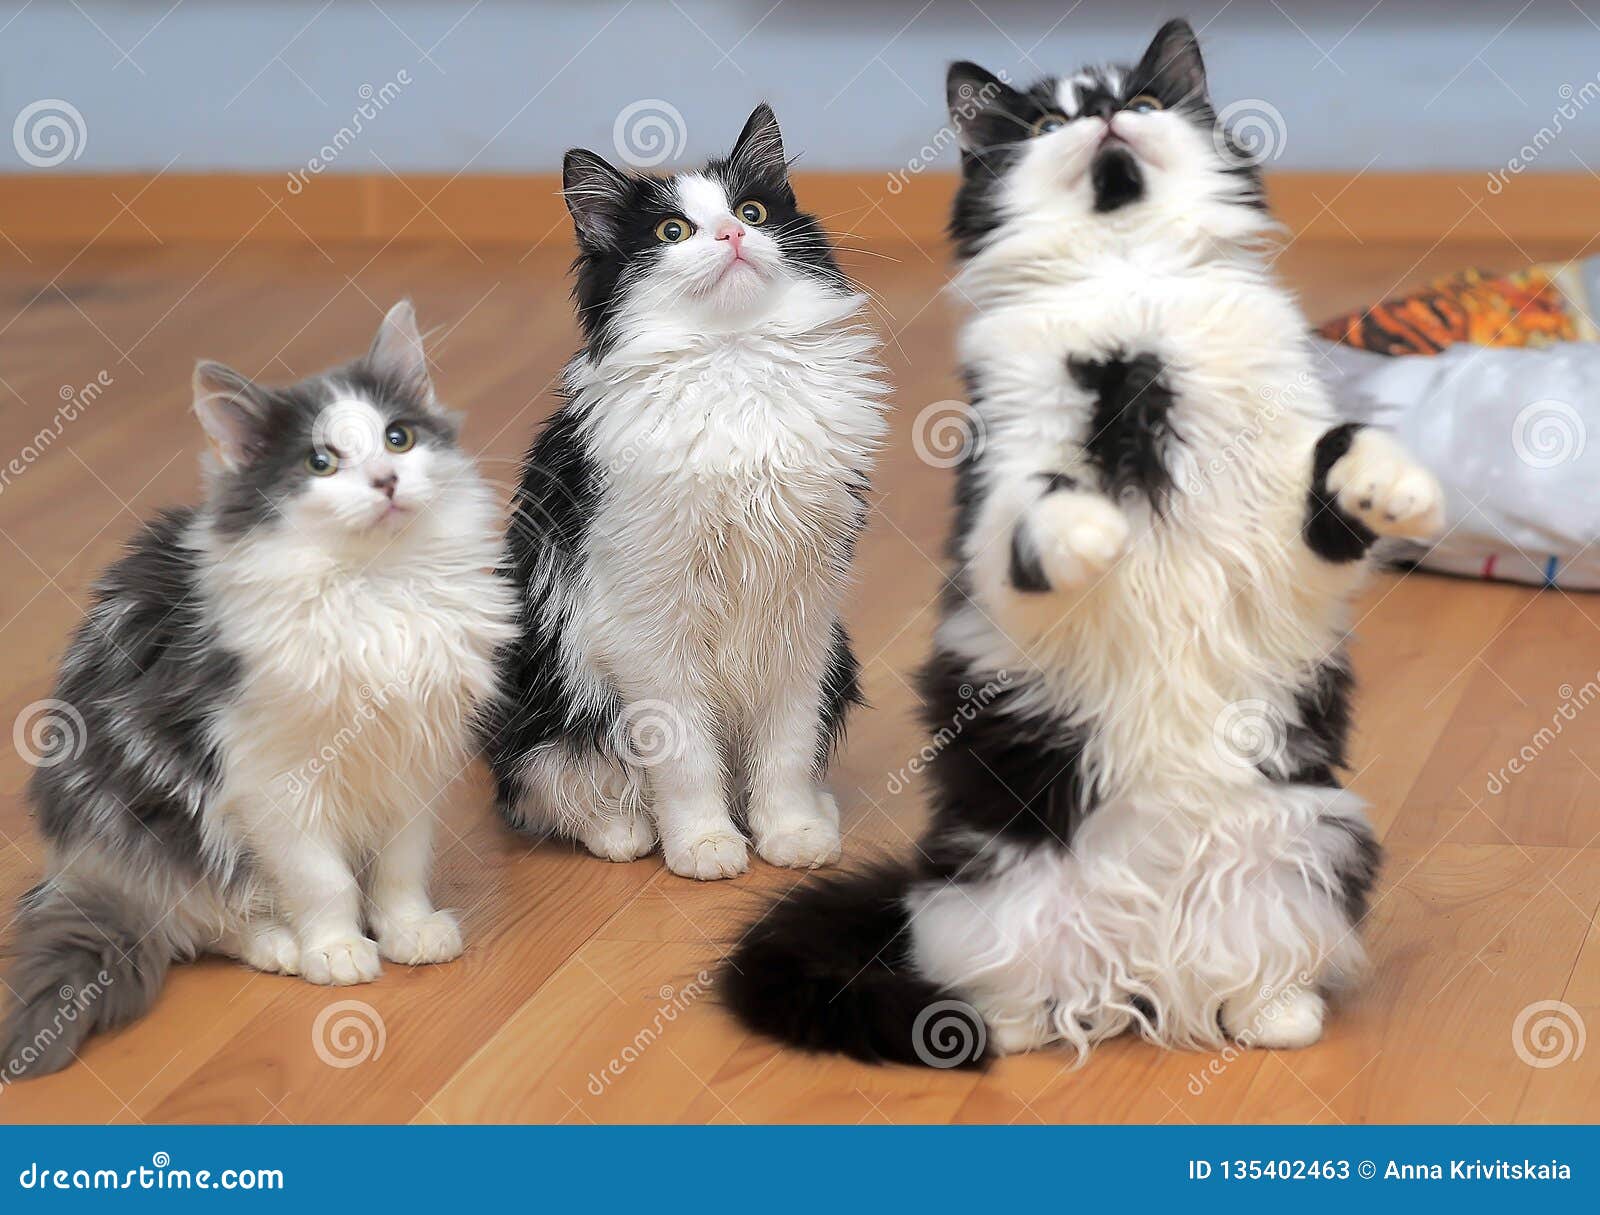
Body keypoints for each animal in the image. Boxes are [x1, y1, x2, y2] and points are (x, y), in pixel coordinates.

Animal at [4, 305, 512, 1082]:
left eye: (398, 437)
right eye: (320, 463)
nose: (387, 479)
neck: (376, 587)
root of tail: (76, 872)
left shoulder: (411, 759)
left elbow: (399, 865)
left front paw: (407, 930)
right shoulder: (273, 778)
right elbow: (322, 878)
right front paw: (336, 947)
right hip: (150, 827)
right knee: (197, 919)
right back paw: (279, 943)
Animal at [486, 107, 889, 883]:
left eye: (752, 212)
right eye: (673, 232)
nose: (732, 235)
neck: (734, 359)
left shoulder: (803, 613)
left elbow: (786, 750)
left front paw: (790, 833)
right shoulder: (649, 625)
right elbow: (685, 760)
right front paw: (703, 846)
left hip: (839, 654)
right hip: (542, 705)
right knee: (556, 790)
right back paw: (625, 832)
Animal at [726, 16, 1452, 1062]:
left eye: (1142, 101)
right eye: (1047, 122)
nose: (1106, 114)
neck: (1130, 293)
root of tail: (1143, 969)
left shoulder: (1294, 521)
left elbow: (1343, 445)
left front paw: (1402, 486)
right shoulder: (1000, 487)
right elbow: (1041, 505)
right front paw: (1096, 530)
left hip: (1316, 843)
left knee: (1257, 981)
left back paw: (1275, 1014)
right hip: (977, 886)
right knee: (1001, 996)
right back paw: (1017, 1025)